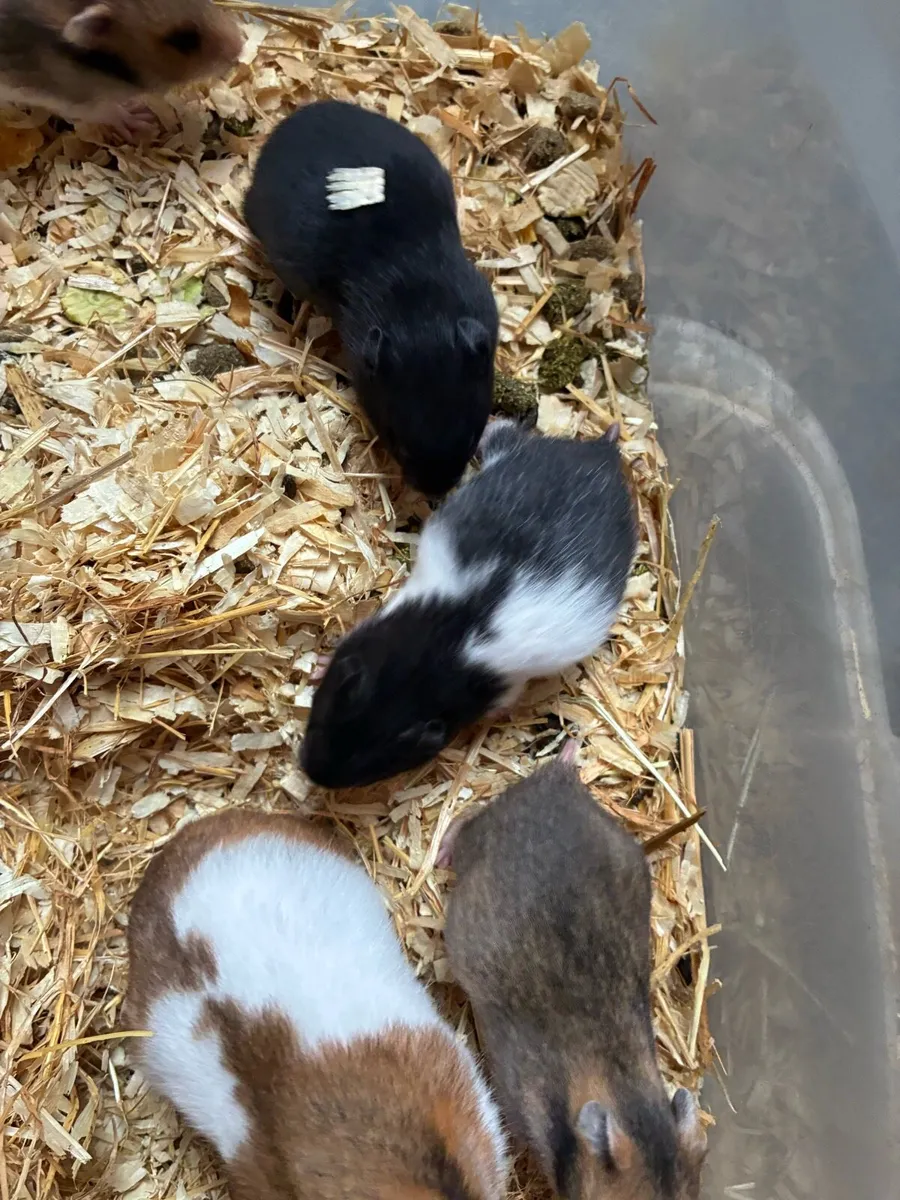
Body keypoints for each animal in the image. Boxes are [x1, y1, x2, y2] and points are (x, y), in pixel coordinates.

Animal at [300, 418, 637, 789]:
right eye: (321, 723)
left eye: (366, 771)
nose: (309, 772)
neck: (433, 657)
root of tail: (602, 455)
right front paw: (318, 665)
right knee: (504, 434)